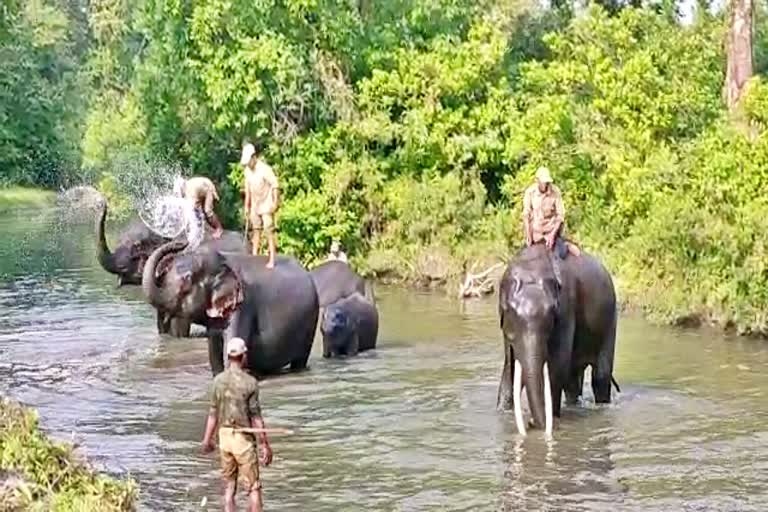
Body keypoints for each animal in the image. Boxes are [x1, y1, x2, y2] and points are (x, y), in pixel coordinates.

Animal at [142, 240, 320, 376]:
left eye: (187, 281)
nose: (183, 243)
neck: (223, 261)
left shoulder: (243, 305)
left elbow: (233, 342)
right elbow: (214, 347)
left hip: (310, 324)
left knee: (300, 359)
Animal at [498, 244, 616, 436]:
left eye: (553, 314)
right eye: (508, 311)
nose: (531, 423)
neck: (531, 268)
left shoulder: (566, 308)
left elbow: (557, 364)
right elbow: (510, 369)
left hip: (610, 320)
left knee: (600, 377)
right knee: (572, 380)